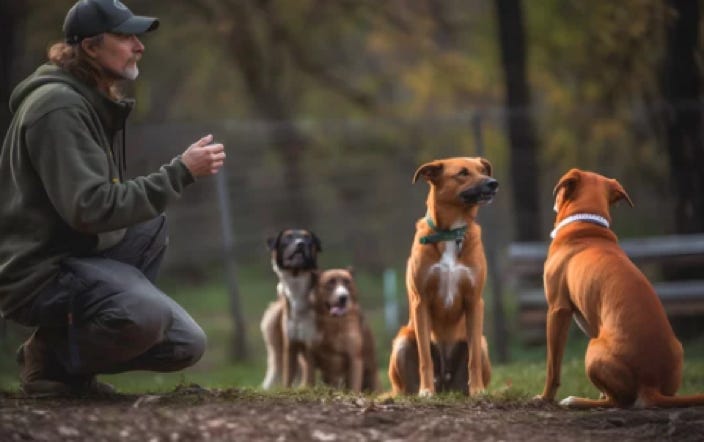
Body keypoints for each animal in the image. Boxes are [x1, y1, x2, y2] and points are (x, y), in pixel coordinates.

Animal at [262, 230, 322, 388]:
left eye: (308, 239)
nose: (300, 243)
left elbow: (309, 375)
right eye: (288, 237)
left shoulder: (310, 343)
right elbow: (288, 377)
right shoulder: (290, 344)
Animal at [384, 156, 496, 398]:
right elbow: (425, 357)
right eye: (463, 173)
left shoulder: (474, 301)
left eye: (483, 170)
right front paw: (426, 390)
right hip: (402, 342)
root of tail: (446, 384)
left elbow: (473, 358)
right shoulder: (421, 301)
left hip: (483, 344)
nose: (493, 183)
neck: (451, 233)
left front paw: (478, 390)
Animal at [536, 168, 704, 408]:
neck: (586, 224)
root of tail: (650, 383)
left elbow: (553, 367)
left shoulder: (558, 310)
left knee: (617, 402)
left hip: (593, 348)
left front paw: (545, 397)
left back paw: (575, 401)